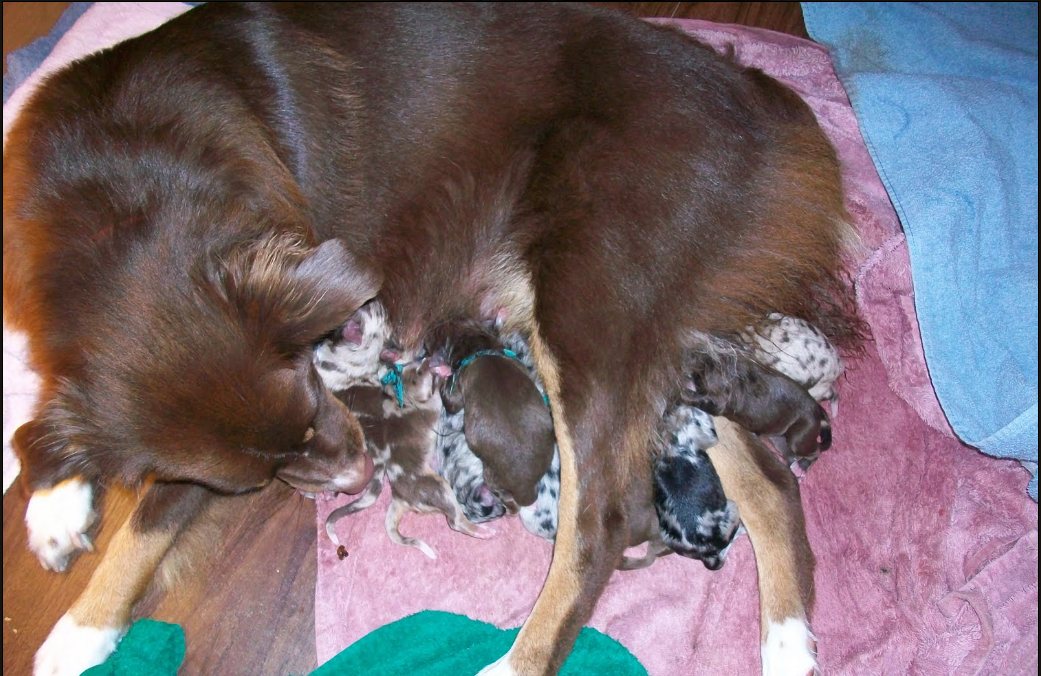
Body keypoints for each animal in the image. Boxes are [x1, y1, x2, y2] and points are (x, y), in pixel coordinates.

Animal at [4, 5, 862, 676]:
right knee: (767, 482)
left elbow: (147, 524)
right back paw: (788, 646)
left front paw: (78, 633)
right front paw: (55, 491)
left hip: (589, 307)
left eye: (309, 404)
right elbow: (57, 424)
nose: (356, 479)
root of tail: (766, 101)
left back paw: (517, 661)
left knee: (603, 519)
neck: (120, 200)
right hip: (663, 346)